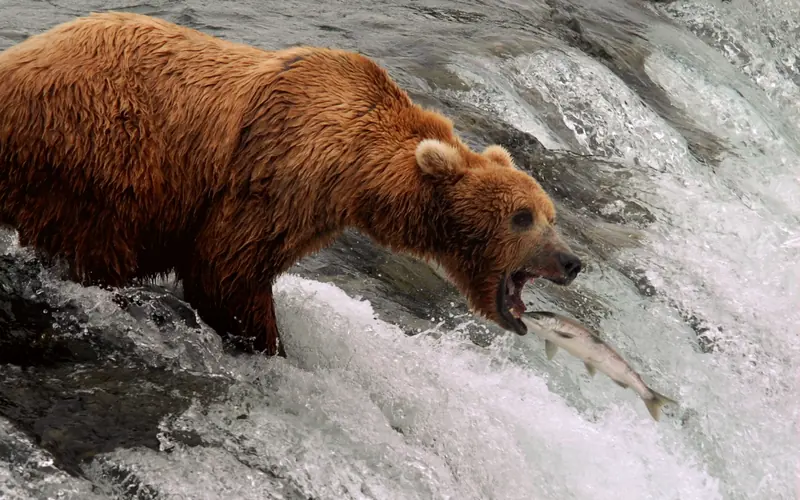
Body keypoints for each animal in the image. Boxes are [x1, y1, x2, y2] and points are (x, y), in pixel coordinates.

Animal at [0, 12, 582, 357]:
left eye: (551, 214)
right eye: (522, 217)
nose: (572, 261)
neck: (357, 170)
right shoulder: (276, 170)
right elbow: (225, 267)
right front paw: (270, 344)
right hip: (103, 146)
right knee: (100, 243)